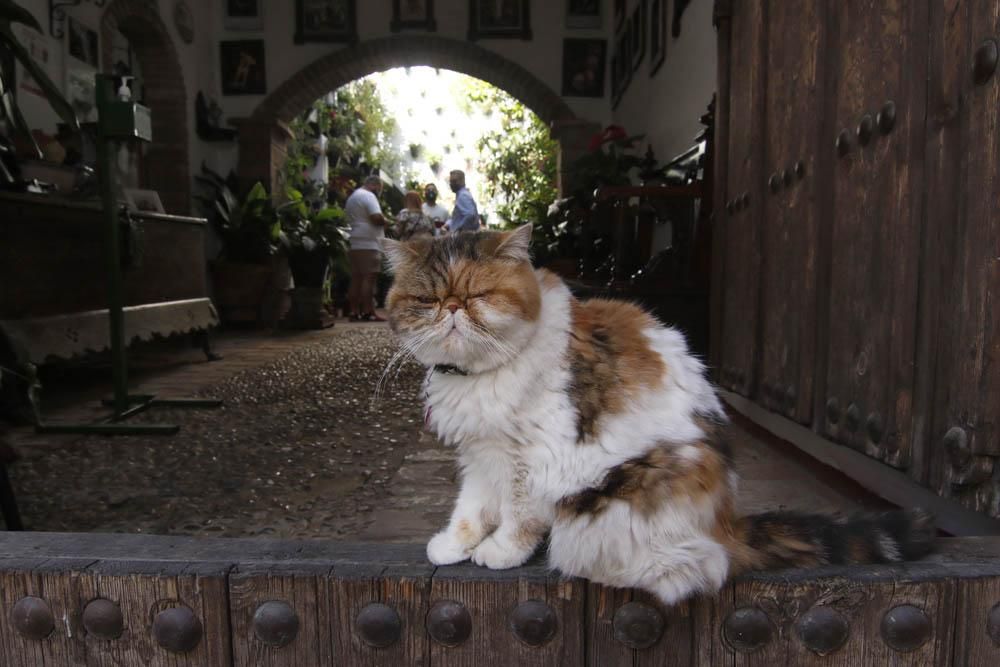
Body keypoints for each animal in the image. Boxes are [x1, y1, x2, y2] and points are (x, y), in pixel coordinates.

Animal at [382, 224, 936, 604]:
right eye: (427, 299)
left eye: (478, 295)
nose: (453, 308)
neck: (480, 376)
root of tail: (727, 524)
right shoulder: (481, 455)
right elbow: (472, 506)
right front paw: (454, 545)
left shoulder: (533, 457)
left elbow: (519, 515)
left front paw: (500, 553)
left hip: (626, 496)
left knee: (693, 570)